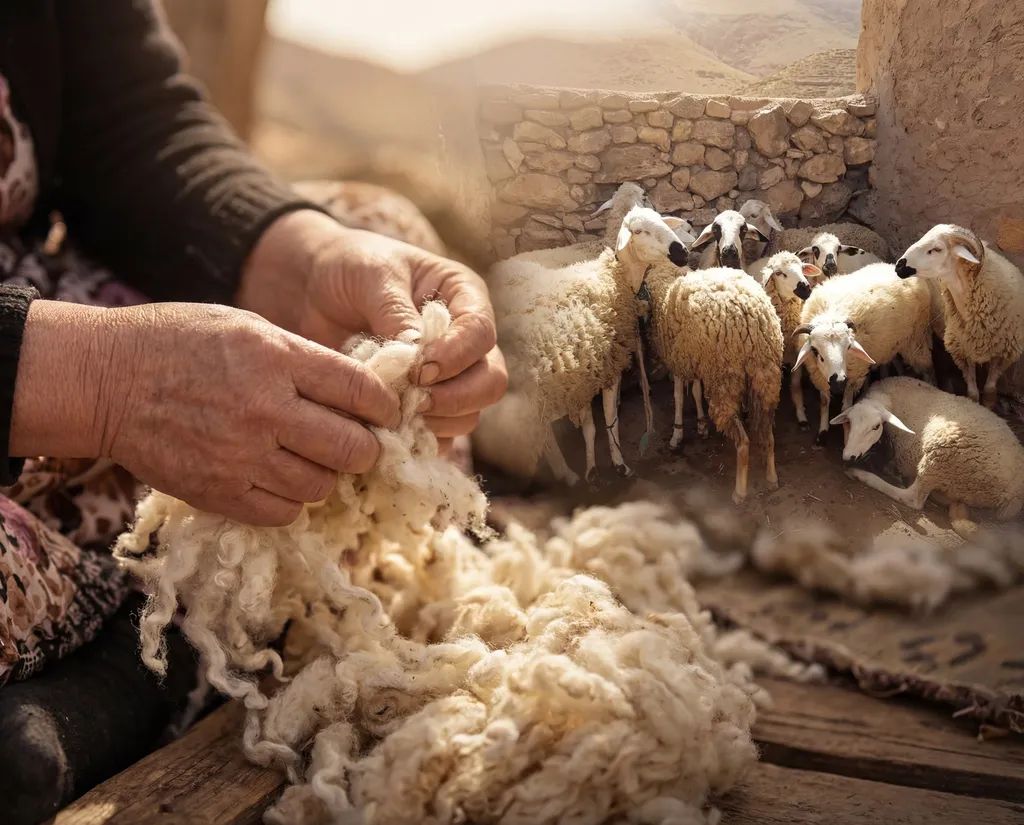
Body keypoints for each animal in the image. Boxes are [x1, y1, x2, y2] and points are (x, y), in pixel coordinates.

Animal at [479, 206, 692, 486]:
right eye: (638, 231)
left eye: (662, 220)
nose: (682, 252)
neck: (613, 279)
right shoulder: (604, 369)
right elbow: (610, 418)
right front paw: (618, 463)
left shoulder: (585, 375)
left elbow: (590, 426)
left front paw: (593, 466)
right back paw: (565, 474)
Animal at [645, 262, 784, 504]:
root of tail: (751, 316)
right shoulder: (697, 358)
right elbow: (696, 391)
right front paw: (701, 424)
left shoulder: (678, 360)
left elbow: (679, 396)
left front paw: (677, 435)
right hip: (766, 378)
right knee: (768, 434)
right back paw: (772, 477)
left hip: (724, 380)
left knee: (743, 443)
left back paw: (740, 492)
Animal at [792, 262, 935, 444]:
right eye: (816, 351)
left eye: (848, 347)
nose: (839, 381)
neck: (830, 312)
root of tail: (891, 265)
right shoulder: (821, 376)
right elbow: (824, 402)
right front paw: (822, 432)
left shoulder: (853, 377)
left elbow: (845, 409)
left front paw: (846, 436)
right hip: (890, 343)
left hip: (916, 338)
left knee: (928, 368)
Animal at [833, 376, 1024, 538]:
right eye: (849, 422)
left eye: (876, 426)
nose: (849, 456)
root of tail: (1014, 494)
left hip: (943, 456)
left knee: (913, 498)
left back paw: (862, 475)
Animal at [896, 224, 1024, 409]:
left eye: (937, 249)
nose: (898, 266)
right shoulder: (962, 353)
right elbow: (972, 394)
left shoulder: (1003, 355)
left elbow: (990, 391)